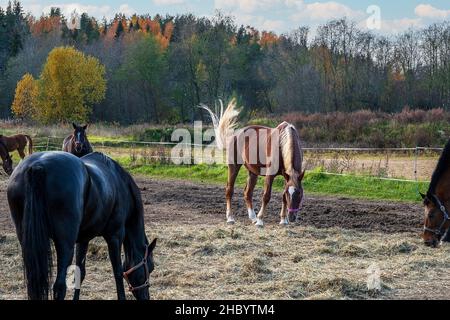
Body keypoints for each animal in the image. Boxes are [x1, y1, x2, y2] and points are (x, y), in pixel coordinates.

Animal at [6, 151, 158, 298]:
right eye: (150, 267)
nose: (146, 297)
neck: (120, 183)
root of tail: (37, 166)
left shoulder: (84, 239)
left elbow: (81, 273)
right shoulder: (115, 236)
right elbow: (118, 273)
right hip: (65, 245)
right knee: (59, 287)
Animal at [201, 100, 304, 228]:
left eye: (300, 194)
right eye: (290, 194)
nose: (292, 217)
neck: (282, 144)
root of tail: (234, 135)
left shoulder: (288, 176)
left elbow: (282, 197)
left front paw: (283, 220)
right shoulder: (270, 175)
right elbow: (266, 196)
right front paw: (260, 220)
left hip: (253, 172)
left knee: (247, 193)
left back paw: (252, 217)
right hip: (233, 166)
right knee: (229, 190)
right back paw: (231, 218)